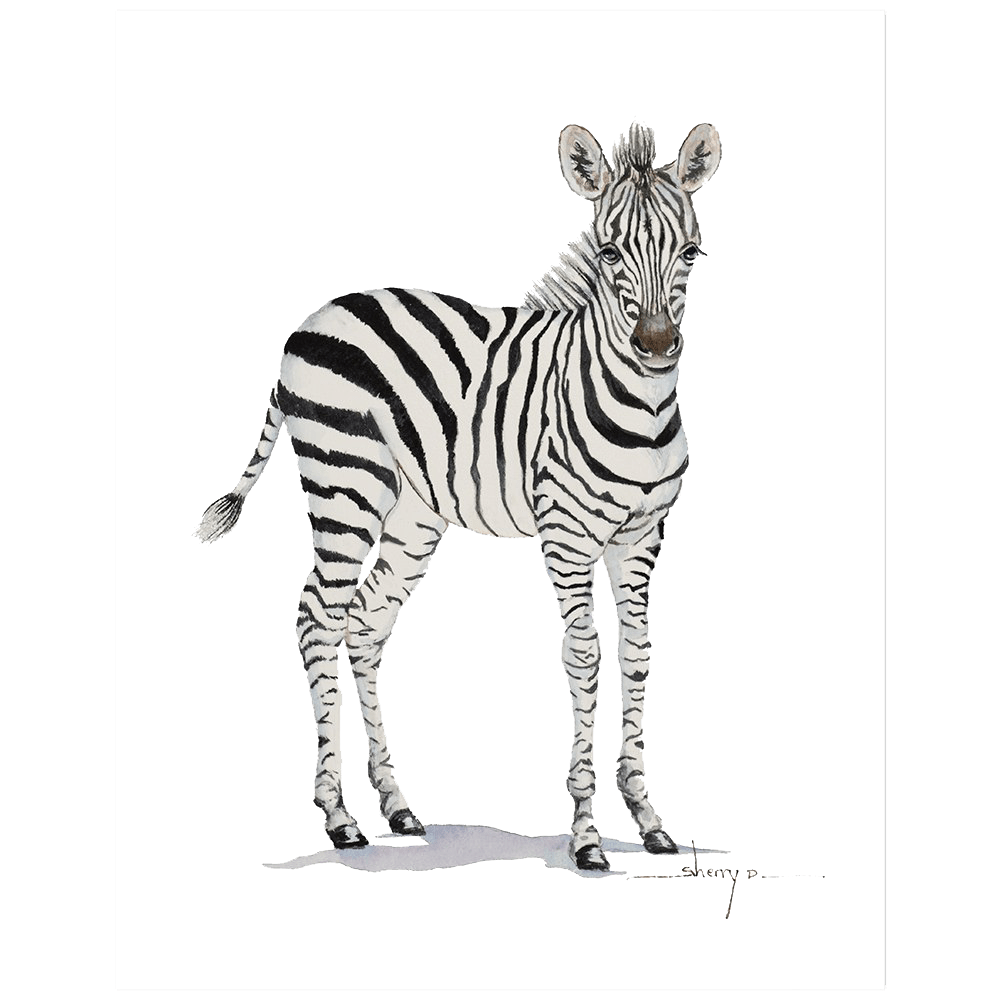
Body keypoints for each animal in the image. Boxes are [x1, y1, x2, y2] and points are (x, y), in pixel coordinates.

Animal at [194, 121, 722, 872]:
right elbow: (584, 656)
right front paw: (586, 835)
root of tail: (312, 318)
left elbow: (639, 654)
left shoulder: (641, 538)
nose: (655, 346)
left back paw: (396, 807)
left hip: (411, 517)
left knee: (365, 622)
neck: (640, 408)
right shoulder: (567, 536)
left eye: (690, 251)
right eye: (610, 250)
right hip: (344, 484)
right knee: (317, 615)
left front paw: (648, 818)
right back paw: (339, 816)